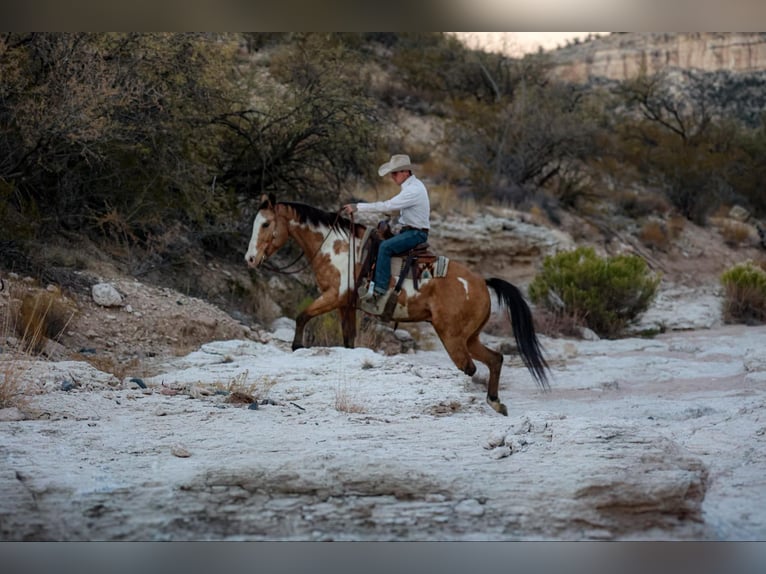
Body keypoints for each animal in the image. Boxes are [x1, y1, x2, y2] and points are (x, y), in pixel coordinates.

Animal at [245, 193, 550, 415]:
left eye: (266, 224)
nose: (250, 258)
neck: (337, 249)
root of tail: (481, 282)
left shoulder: (334, 297)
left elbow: (301, 316)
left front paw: (297, 346)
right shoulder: (346, 306)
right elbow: (348, 341)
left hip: (452, 337)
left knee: (470, 367)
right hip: (469, 336)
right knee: (495, 359)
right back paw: (495, 402)